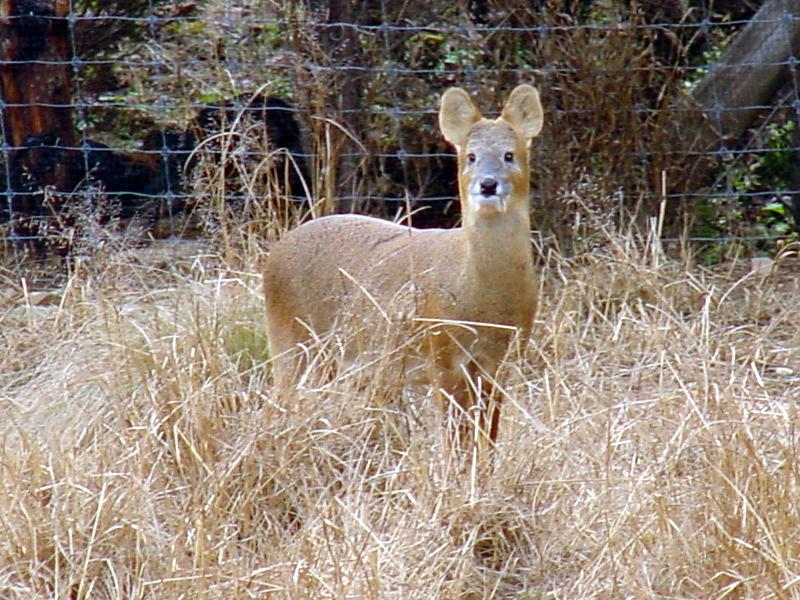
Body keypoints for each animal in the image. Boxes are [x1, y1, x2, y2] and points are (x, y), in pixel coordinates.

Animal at [262, 83, 544, 454]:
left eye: (509, 155)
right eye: (470, 156)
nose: (487, 184)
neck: (484, 298)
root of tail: (273, 256)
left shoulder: (501, 360)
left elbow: (486, 437)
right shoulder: (442, 352)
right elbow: (455, 437)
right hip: (291, 340)